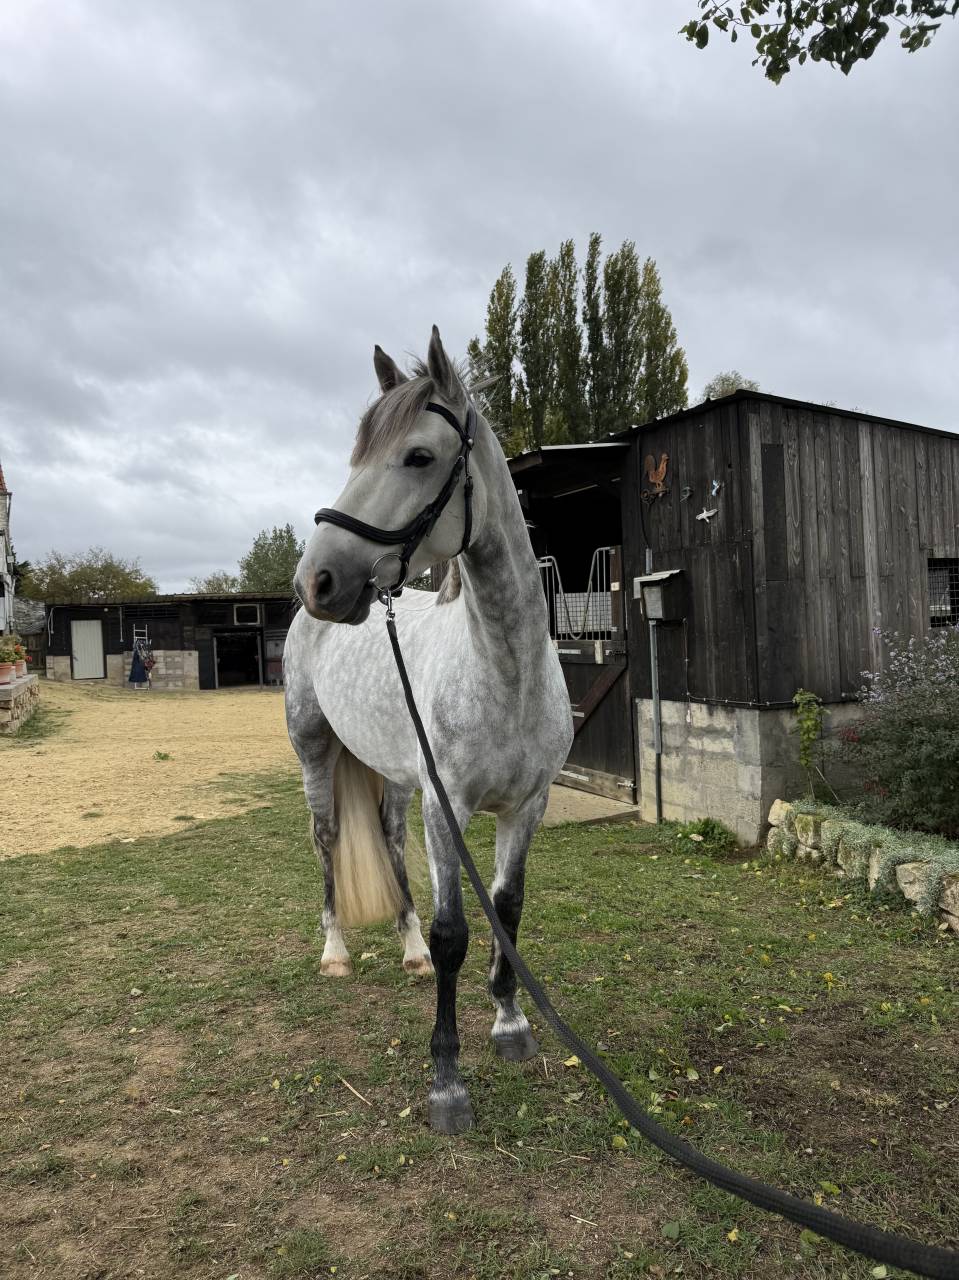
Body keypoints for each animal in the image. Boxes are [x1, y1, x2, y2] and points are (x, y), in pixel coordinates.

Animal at [283, 326, 573, 1134]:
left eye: (417, 456)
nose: (317, 580)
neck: (504, 672)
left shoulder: (527, 805)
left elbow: (507, 908)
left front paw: (509, 1023)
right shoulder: (449, 812)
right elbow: (456, 935)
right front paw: (447, 1080)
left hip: (389, 774)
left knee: (384, 841)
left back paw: (406, 949)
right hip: (315, 752)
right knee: (326, 839)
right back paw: (335, 950)